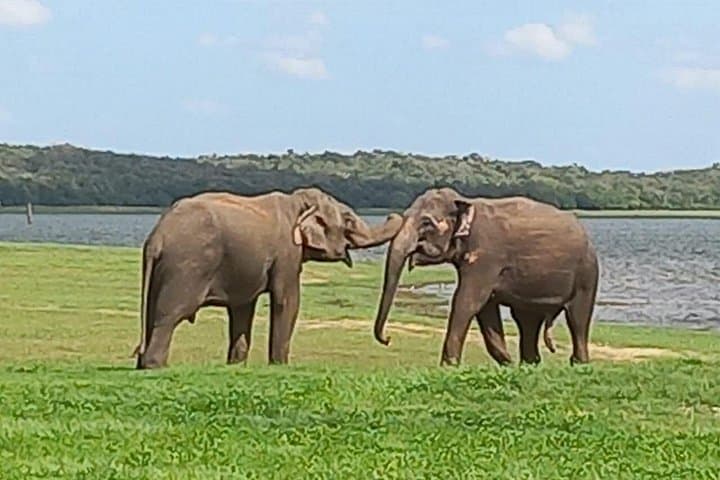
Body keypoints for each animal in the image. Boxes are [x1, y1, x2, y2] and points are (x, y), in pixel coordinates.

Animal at [134, 187, 402, 369]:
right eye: (348, 221)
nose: (391, 215)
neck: (297, 202)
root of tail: (157, 236)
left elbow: (243, 307)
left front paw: (236, 365)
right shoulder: (287, 252)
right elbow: (288, 301)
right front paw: (280, 365)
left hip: (163, 270)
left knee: (152, 311)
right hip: (187, 266)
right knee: (170, 314)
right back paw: (154, 366)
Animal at [372, 187, 599, 366]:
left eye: (426, 223)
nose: (388, 338)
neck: (465, 202)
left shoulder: (487, 255)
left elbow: (467, 301)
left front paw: (449, 366)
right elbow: (485, 307)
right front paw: (507, 362)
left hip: (587, 273)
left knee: (577, 318)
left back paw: (578, 363)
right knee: (527, 319)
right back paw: (529, 364)